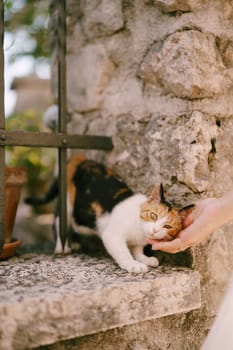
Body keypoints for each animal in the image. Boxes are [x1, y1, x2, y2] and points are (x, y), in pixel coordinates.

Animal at [24, 155, 194, 274]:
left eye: (168, 226)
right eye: (153, 216)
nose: (155, 230)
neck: (139, 229)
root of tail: (78, 159)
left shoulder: (138, 241)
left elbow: (137, 249)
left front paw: (143, 258)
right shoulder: (112, 235)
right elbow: (123, 252)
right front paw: (133, 264)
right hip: (67, 202)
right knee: (59, 221)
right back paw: (62, 247)